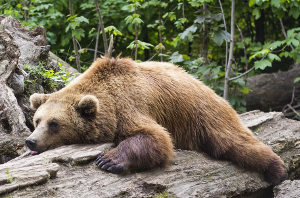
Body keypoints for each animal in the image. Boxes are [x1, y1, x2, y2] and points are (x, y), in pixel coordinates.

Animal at [27, 56, 288, 185]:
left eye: (54, 123)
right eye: (37, 120)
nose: (31, 141)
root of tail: (204, 85)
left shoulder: (129, 106)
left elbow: (155, 137)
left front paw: (108, 160)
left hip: (203, 114)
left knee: (234, 142)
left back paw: (277, 170)